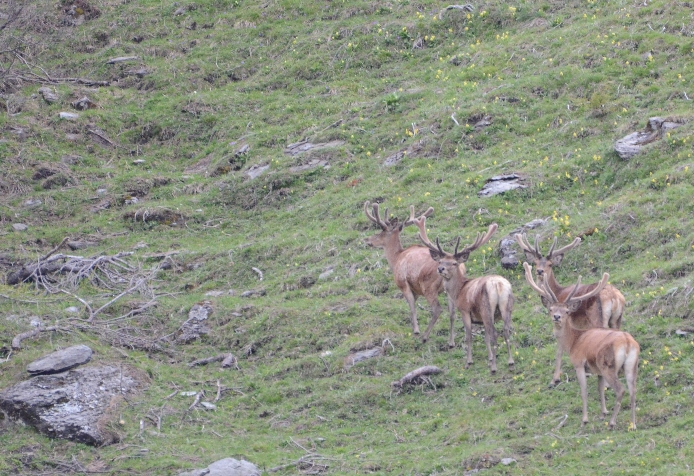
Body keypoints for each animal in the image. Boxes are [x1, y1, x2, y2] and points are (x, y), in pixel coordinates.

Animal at [364, 201, 446, 338]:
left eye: (382, 231)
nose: (367, 239)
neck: (396, 258)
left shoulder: (403, 283)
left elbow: (412, 306)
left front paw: (416, 330)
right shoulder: (415, 289)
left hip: (428, 287)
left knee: (438, 309)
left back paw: (425, 336)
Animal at [414, 218, 516, 374]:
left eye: (454, 263)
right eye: (440, 261)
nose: (440, 269)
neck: (459, 291)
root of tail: (498, 285)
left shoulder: (464, 310)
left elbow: (469, 336)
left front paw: (469, 361)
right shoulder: (480, 319)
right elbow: (485, 338)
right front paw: (490, 358)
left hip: (487, 309)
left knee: (494, 334)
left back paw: (494, 368)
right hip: (507, 307)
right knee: (506, 331)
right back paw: (510, 362)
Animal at [520, 233, 628, 386]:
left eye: (550, 264)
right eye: (535, 262)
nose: (540, 271)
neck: (558, 291)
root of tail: (615, 297)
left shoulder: (568, 320)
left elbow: (560, 349)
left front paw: (555, 378)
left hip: (598, 318)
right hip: (617, 318)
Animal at [520, 262, 640, 430]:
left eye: (566, 311)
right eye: (551, 309)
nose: (556, 317)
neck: (573, 341)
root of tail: (628, 343)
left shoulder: (579, 364)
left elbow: (584, 391)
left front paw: (585, 419)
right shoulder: (597, 371)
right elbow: (599, 389)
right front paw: (603, 412)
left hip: (608, 365)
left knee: (621, 390)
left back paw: (612, 422)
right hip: (631, 366)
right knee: (633, 390)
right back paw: (633, 424)